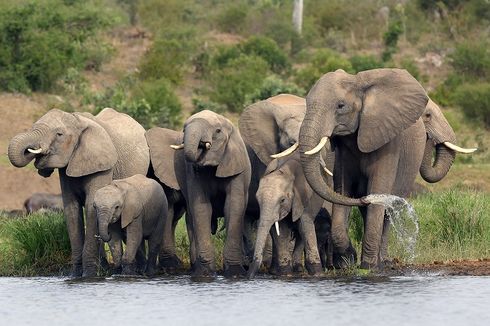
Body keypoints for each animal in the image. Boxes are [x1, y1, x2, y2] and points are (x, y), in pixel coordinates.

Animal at [7, 108, 149, 276]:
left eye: (59, 134)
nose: (33, 151)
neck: (77, 120)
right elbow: (72, 210)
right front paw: (75, 274)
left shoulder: (102, 166)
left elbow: (91, 207)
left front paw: (89, 274)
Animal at [170, 109, 251, 278]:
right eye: (184, 129)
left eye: (218, 131)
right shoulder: (193, 173)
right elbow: (202, 209)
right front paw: (205, 274)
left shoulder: (235, 167)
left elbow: (233, 207)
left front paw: (235, 273)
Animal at [292, 67, 430, 268]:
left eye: (340, 106)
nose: (364, 198)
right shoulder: (343, 152)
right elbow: (342, 190)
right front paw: (348, 260)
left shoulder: (388, 142)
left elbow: (378, 190)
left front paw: (368, 266)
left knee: (387, 214)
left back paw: (382, 262)